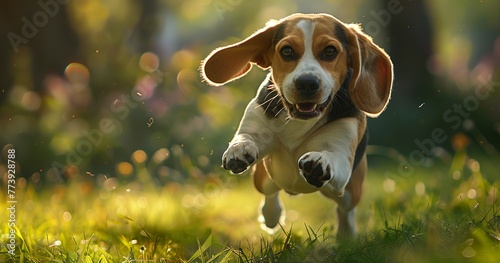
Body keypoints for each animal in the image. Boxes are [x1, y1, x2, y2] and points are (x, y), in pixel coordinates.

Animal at [201, 13, 392, 236]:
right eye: (287, 51)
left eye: (330, 51)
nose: (307, 83)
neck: (300, 120)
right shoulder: (256, 124)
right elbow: (246, 137)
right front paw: (238, 149)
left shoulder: (343, 156)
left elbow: (332, 157)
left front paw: (320, 161)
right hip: (262, 178)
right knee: (270, 192)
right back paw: (271, 215)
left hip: (351, 190)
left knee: (345, 209)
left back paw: (347, 234)